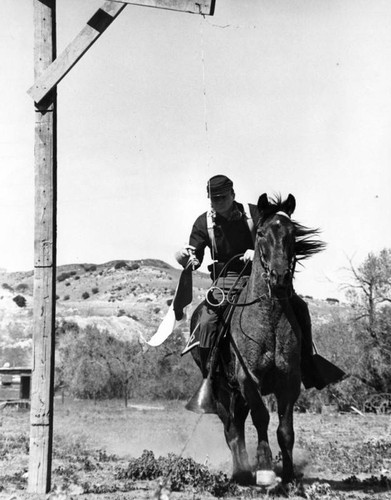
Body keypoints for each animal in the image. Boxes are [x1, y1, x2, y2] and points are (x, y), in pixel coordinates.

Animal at [190, 193, 324, 486]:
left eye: (292, 232)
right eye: (261, 233)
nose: (280, 276)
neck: (268, 319)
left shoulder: (289, 382)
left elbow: (285, 429)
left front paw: (288, 475)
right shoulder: (248, 379)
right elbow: (261, 417)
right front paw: (264, 469)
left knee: (237, 425)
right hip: (222, 389)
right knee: (231, 429)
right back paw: (241, 473)